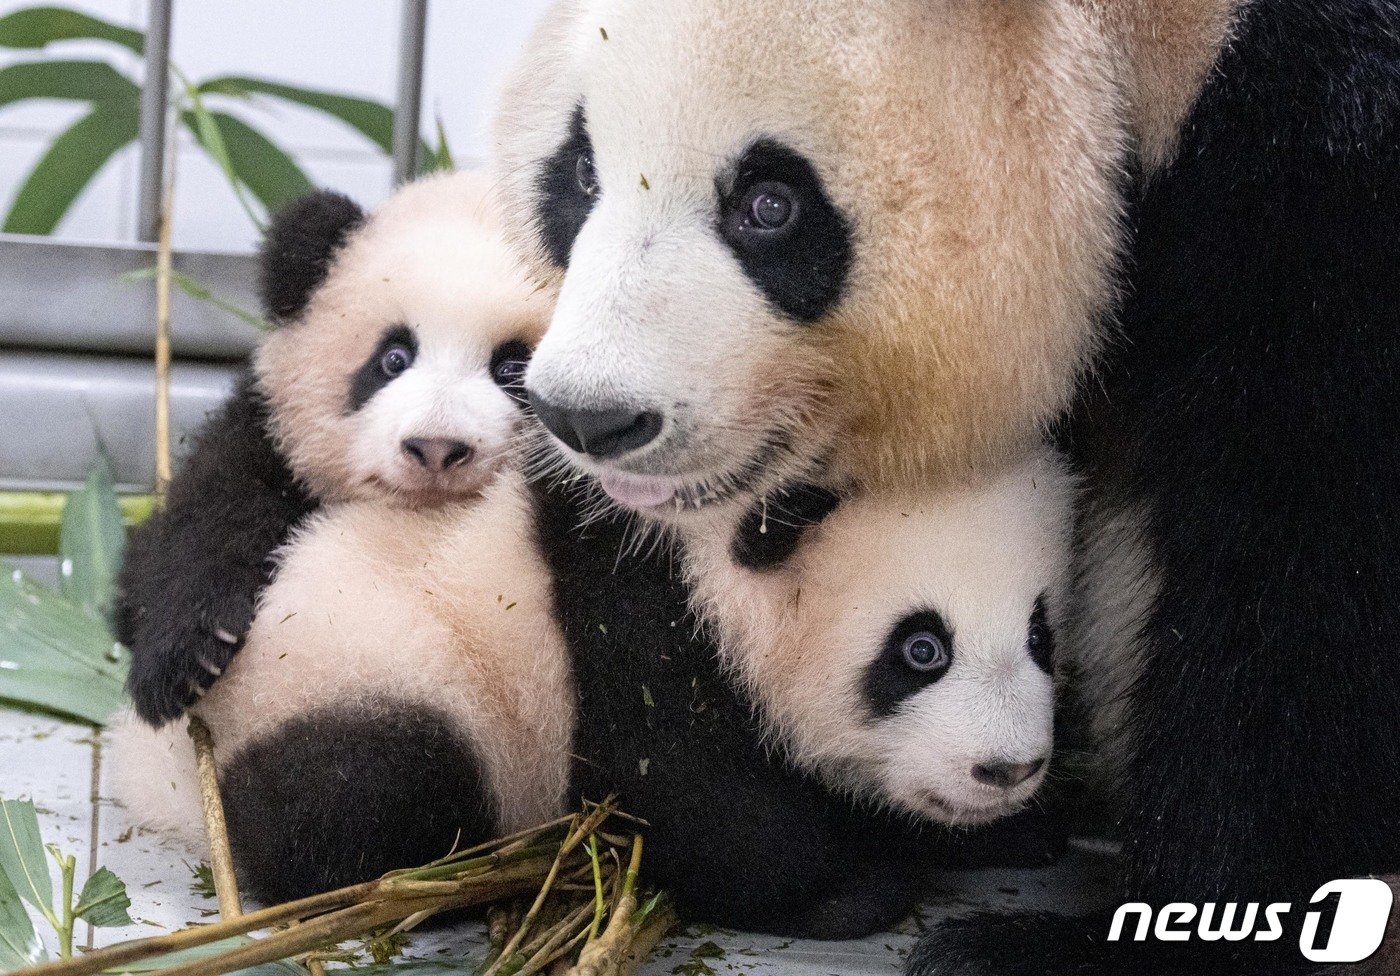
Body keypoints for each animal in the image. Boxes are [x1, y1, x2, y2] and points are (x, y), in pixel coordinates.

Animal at [490, 3, 1400, 968]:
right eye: (580, 172)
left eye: (769, 206)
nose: (588, 417)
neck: (1168, 55)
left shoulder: (1327, 195)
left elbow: (1309, 590)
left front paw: (1115, 934)